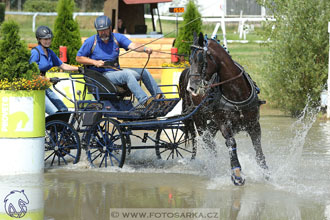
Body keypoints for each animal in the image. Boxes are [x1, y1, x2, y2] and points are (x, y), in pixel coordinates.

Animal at [179, 32, 270, 186]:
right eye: (190, 60)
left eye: (201, 59)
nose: (191, 88)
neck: (236, 92)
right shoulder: (224, 123)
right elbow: (231, 143)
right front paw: (237, 174)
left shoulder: (254, 124)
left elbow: (258, 148)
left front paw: (266, 172)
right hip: (199, 119)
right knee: (207, 140)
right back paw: (213, 166)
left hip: (213, 121)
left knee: (210, 139)